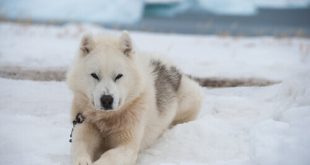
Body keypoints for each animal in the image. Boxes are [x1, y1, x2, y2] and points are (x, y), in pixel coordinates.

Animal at [67, 31, 203, 165]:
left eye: (118, 76)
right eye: (94, 75)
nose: (107, 99)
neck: (107, 120)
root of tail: (171, 66)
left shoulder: (128, 146)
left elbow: (110, 155)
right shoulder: (83, 130)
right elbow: (80, 148)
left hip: (189, 100)